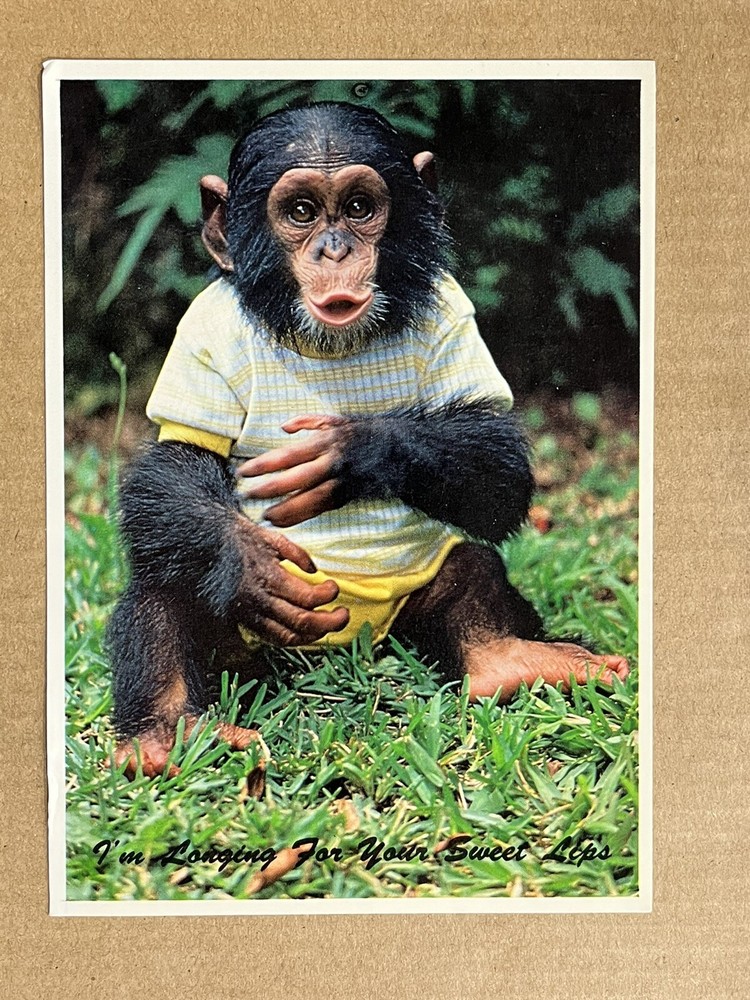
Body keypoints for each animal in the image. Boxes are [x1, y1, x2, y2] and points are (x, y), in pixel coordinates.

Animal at [107, 102, 629, 778]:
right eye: (302, 212)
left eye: (358, 207)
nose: (334, 249)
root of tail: (342, 651)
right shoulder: (202, 333)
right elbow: (177, 464)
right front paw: (249, 559)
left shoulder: (454, 314)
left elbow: (499, 464)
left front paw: (350, 452)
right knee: (165, 583)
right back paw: (164, 735)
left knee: (470, 567)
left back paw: (514, 660)